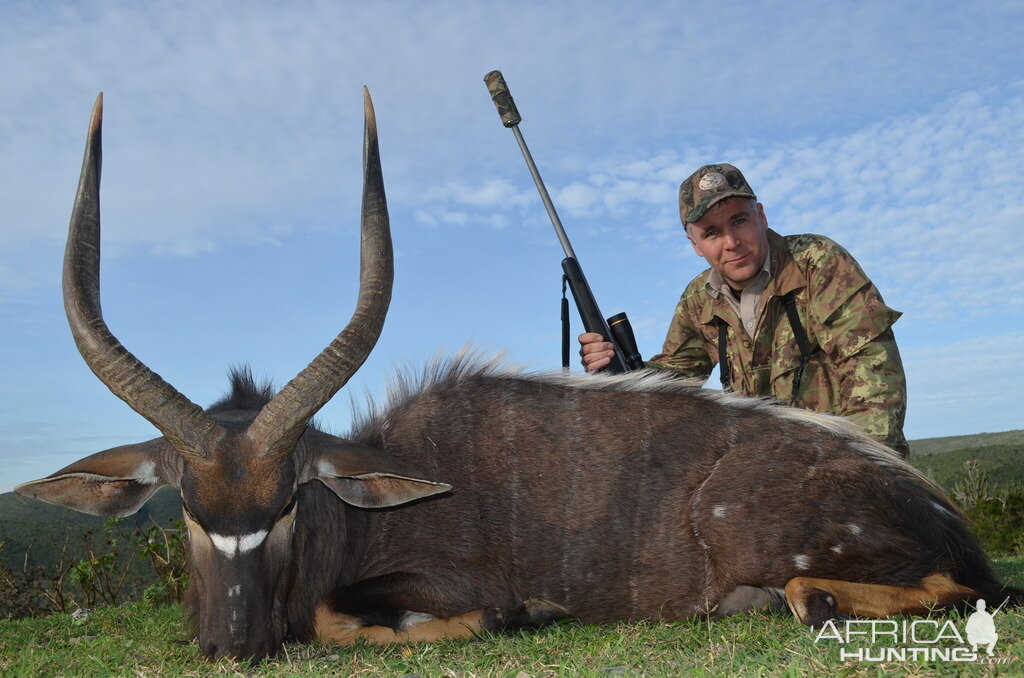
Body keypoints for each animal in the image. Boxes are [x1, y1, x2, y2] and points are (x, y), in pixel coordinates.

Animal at [14, 90, 1015, 663]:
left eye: (290, 502)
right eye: (186, 507)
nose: (232, 647)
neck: (362, 512)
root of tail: (938, 508)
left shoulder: (445, 588)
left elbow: (364, 618)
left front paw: (528, 615)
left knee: (929, 592)